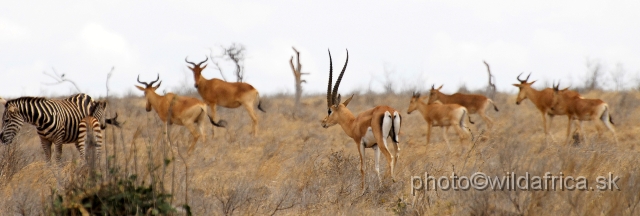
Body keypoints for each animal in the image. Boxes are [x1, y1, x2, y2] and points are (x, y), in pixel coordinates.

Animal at [320, 49, 400, 191]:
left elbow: (363, 168)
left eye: (329, 110)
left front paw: (362, 191)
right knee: (396, 154)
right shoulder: (374, 146)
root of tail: (389, 110)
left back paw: (392, 181)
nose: (323, 122)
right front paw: (379, 186)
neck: (354, 123)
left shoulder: (359, 144)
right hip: (394, 137)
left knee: (390, 156)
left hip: (383, 140)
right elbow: (376, 167)